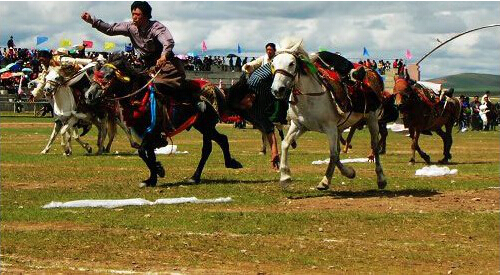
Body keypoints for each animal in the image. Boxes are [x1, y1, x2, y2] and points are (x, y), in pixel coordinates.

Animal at [86, 54, 242, 188]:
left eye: (108, 76)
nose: (89, 95)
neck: (139, 95)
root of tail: (216, 89)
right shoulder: (146, 132)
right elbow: (148, 154)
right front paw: (152, 178)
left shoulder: (152, 131)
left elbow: (142, 151)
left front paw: (158, 171)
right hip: (201, 126)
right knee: (218, 142)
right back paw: (206, 172)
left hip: (206, 125)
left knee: (213, 145)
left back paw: (212, 170)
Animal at [270, 37, 386, 191]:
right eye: (273, 64)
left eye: (291, 63)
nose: (277, 89)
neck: (310, 96)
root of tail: (371, 73)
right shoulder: (299, 125)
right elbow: (285, 143)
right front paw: (285, 177)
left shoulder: (330, 128)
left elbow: (333, 154)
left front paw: (326, 180)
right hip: (340, 127)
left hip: (372, 119)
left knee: (375, 146)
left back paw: (381, 179)